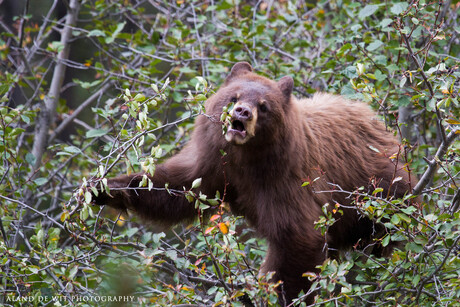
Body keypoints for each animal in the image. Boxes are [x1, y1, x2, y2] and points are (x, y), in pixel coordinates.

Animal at [91, 62, 416, 306]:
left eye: (264, 106)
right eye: (233, 97)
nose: (242, 113)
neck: (245, 159)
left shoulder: (285, 181)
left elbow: (297, 237)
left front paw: (278, 297)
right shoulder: (212, 164)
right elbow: (175, 188)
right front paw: (102, 187)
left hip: (385, 197)